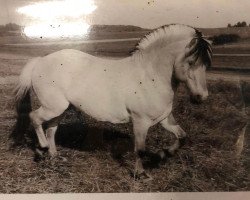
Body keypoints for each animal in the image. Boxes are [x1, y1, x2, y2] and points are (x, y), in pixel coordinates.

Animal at [14, 23, 212, 180]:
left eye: (206, 64)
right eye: (191, 62)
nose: (201, 97)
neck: (149, 76)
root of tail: (40, 61)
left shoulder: (164, 119)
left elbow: (182, 136)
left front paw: (163, 154)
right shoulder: (140, 122)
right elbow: (140, 149)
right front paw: (141, 174)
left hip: (60, 109)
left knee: (51, 129)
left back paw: (55, 157)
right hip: (53, 107)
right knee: (35, 118)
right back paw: (42, 150)